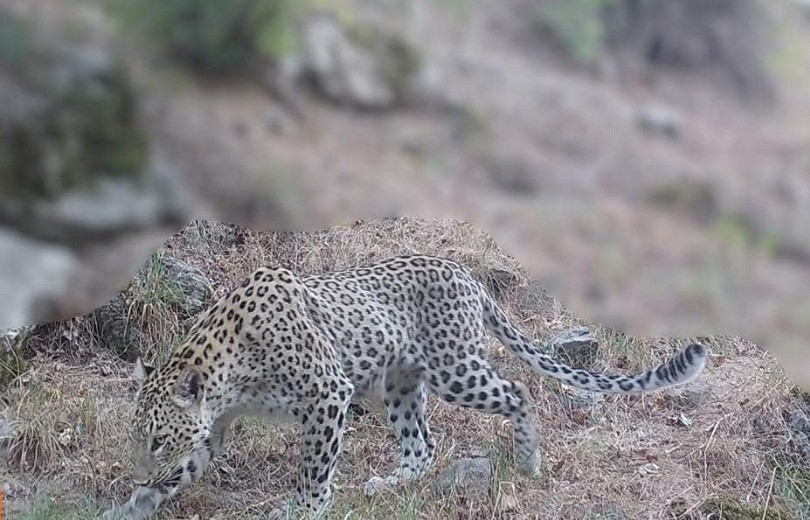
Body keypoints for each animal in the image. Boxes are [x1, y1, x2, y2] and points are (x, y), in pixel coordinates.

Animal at [102, 255, 708, 520]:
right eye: (137, 439)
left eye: (156, 438)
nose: (137, 472)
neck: (229, 374)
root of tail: (468, 275)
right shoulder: (217, 425)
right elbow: (188, 467)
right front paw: (137, 502)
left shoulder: (327, 393)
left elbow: (314, 469)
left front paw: (304, 509)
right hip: (398, 386)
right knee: (424, 443)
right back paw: (388, 485)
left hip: (454, 370)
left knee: (517, 390)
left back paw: (528, 461)